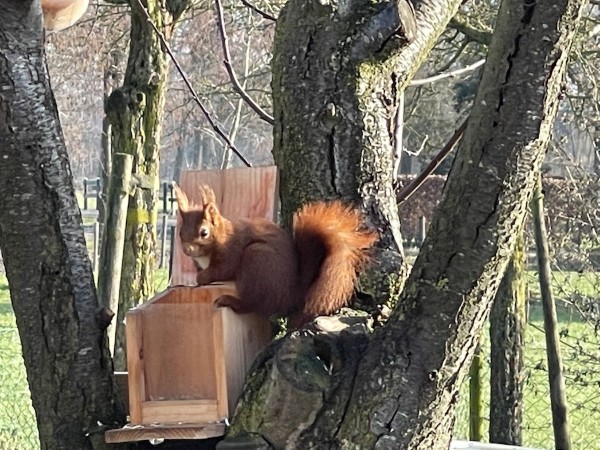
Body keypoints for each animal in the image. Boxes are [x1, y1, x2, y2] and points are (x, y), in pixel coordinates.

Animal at [172, 183, 376, 326]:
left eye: (204, 233)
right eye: (180, 232)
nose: (188, 250)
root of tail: (293, 293)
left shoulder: (231, 250)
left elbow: (223, 269)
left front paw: (201, 278)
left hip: (257, 259)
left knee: (256, 305)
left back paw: (231, 301)